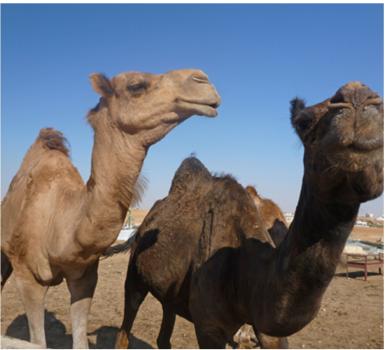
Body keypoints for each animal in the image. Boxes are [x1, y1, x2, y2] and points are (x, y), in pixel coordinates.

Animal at [0, 69, 219, 348]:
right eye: (136, 85)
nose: (202, 79)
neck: (59, 223)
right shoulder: (28, 278)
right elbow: (38, 341)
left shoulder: (85, 277)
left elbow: (80, 340)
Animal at [110, 81, 380, 348]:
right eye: (303, 121)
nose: (358, 97)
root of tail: (143, 224)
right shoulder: (209, 326)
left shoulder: (268, 331)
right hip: (135, 273)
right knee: (127, 317)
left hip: (169, 291)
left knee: (164, 329)